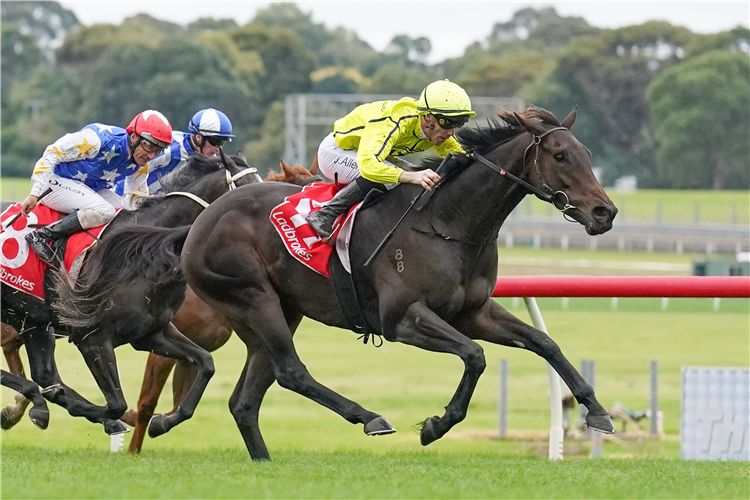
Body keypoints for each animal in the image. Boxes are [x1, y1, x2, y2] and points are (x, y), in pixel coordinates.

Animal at [0, 151, 262, 434]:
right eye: (248, 192)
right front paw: (100, 415)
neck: (148, 251)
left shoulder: (151, 333)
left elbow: (206, 363)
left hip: (31, 319)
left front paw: (161, 422)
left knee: (44, 373)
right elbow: (116, 404)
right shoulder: (91, 339)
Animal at [179, 106, 620, 460]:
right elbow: (475, 355)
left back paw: (263, 459)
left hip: (278, 313)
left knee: (246, 399)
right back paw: (370, 417)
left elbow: (545, 342)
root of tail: (201, 221)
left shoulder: (473, 312)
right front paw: (436, 426)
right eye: (560, 155)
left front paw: (597, 412)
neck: (447, 222)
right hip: (254, 298)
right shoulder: (403, 319)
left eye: (587, 154)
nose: (606, 212)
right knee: (291, 370)